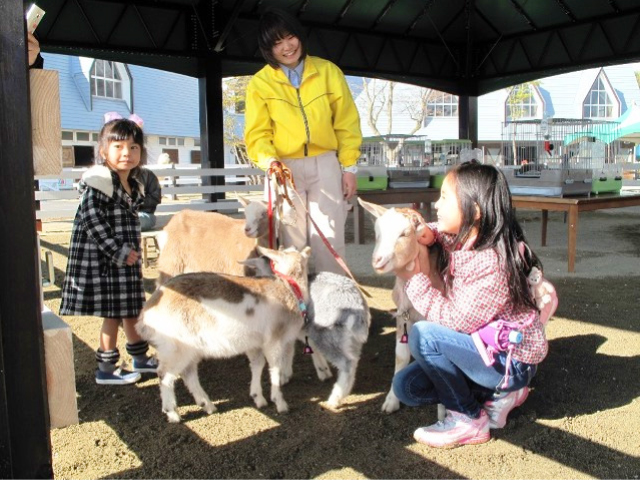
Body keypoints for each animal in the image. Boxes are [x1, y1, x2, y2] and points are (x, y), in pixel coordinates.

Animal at [138, 246, 312, 422]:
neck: (290, 287)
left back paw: (207, 405)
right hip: (176, 348)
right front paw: (280, 404)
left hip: (190, 348)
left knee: (188, 373)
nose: (308, 250)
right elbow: (275, 368)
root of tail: (145, 315)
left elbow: (257, 365)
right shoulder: (274, 340)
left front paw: (258, 398)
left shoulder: (254, 344)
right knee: (164, 374)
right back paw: (173, 413)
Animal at [358, 198, 442, 412]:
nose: (378, 260)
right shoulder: (403, 316)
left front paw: (443, 411)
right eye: (377, 233)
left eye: (404, 234)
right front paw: (391, 401)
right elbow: (401, 356)